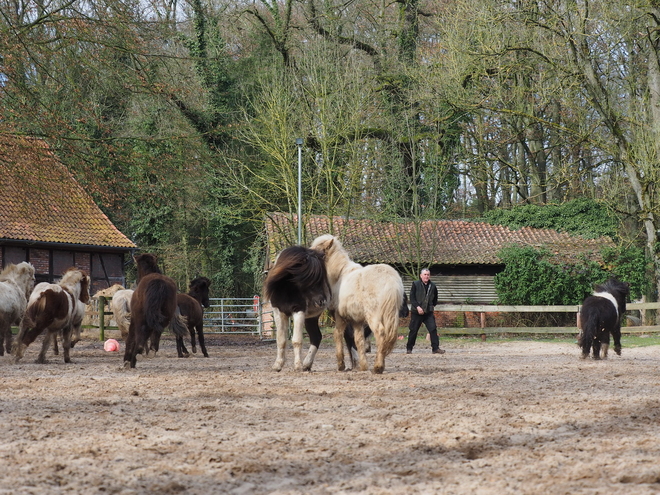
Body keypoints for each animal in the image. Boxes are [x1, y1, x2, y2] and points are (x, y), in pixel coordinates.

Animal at [312, 234, 404, 374]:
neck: (339, 276)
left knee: (381, 334)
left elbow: (337, 335)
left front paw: (341, 365)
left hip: (373, 316)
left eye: (319, 252)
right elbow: (358, 340)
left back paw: (378, 367)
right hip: (391, 315)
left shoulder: (339, 316)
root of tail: (390, 281)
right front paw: (363, 366)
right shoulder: (357, 321)